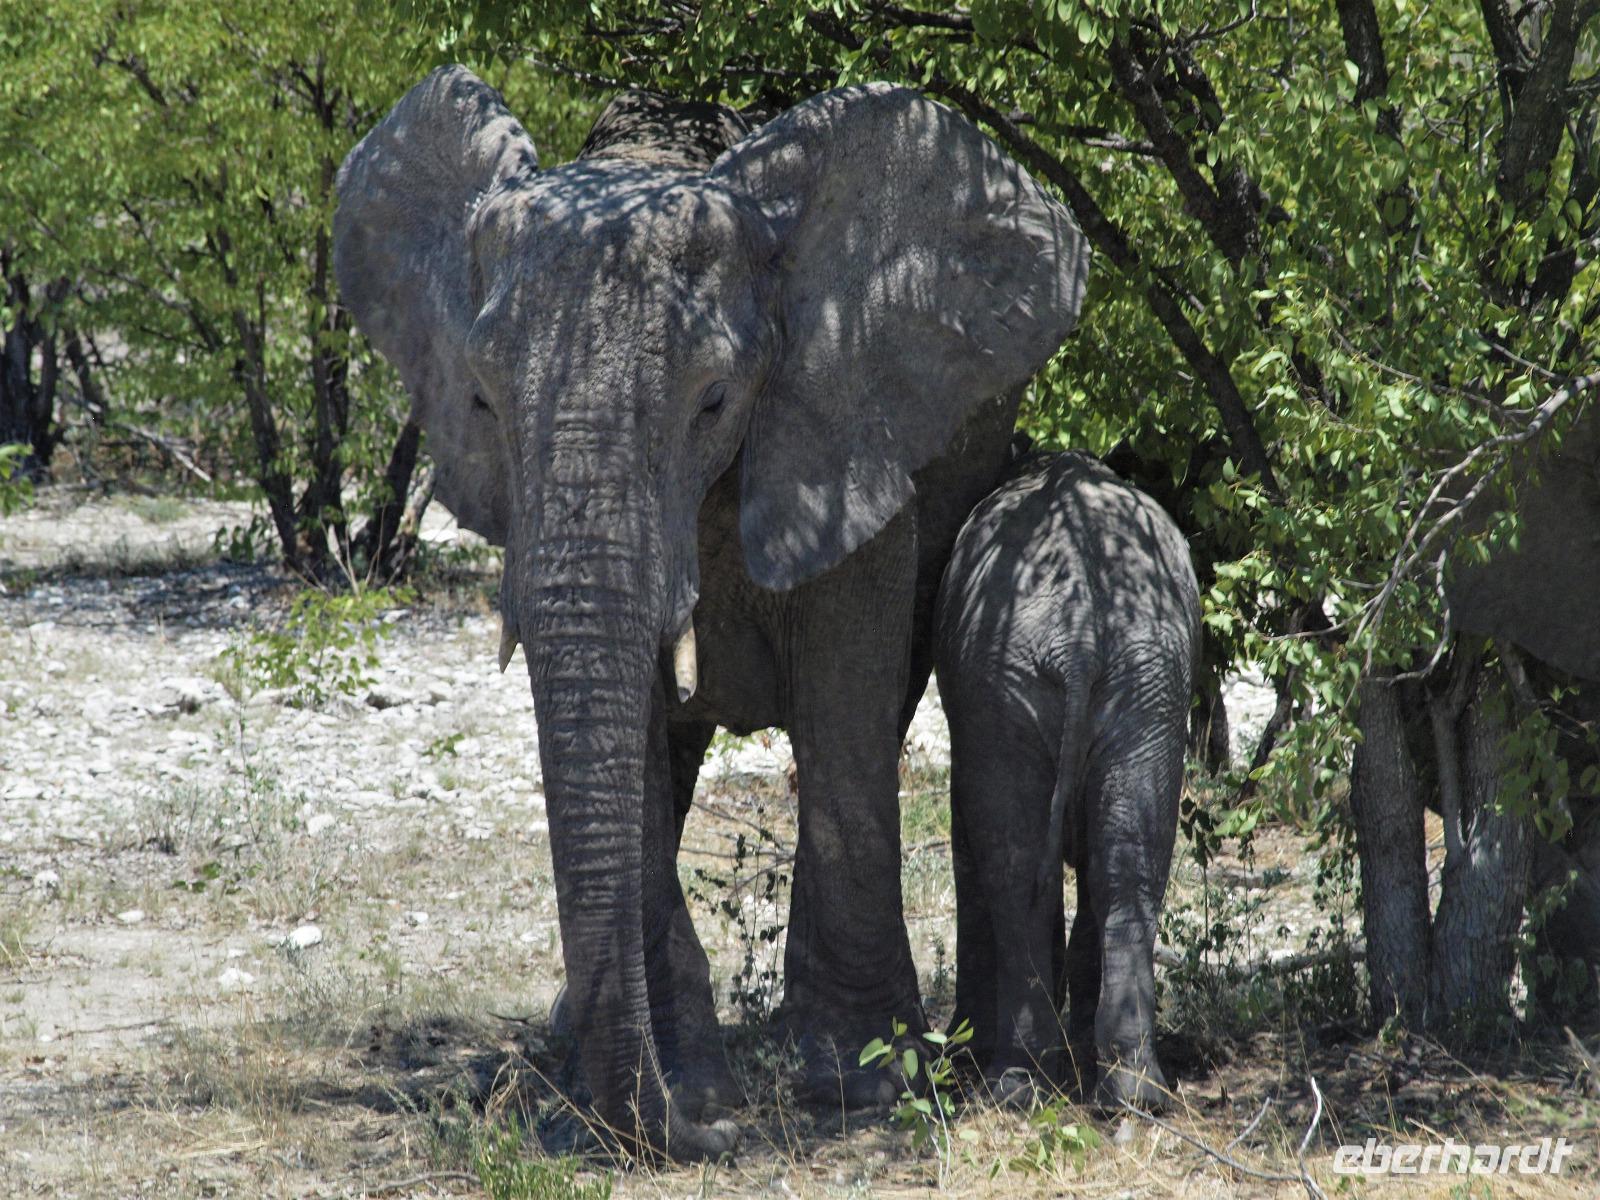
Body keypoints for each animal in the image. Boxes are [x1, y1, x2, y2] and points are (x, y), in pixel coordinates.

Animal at [333, 67, 1089, 1158]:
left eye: (716, 400)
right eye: (479, 402)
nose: (708, 1135)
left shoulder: (847, 421)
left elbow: (846, 702)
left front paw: (862, 1083)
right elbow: (631, 738)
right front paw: (690, 1084)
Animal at [933, 450, 1198, 1109]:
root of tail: (1076, 637)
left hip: (1049, 680)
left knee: (1025, 867)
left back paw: (1026, 1083)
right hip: (1127, 682)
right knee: (1118, 865)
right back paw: (1126, 1092)